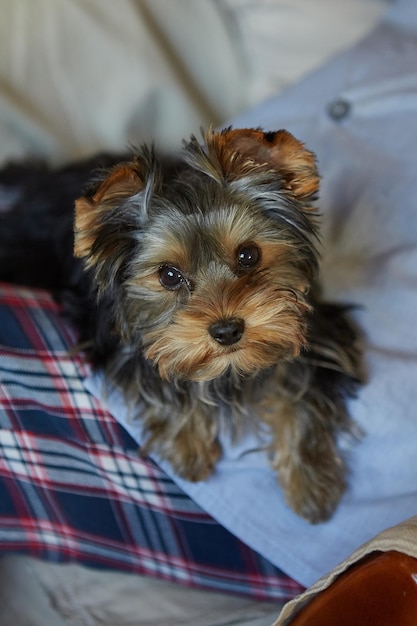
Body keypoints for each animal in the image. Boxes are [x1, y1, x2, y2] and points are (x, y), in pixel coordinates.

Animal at [0, 128, 360, 520]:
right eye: (169, 276)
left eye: (249, 255)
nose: (227, 331)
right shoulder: (112, 337)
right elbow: (156, 376)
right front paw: (188, 448)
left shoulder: (313, 330)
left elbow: (301, 391)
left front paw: (311, 484)